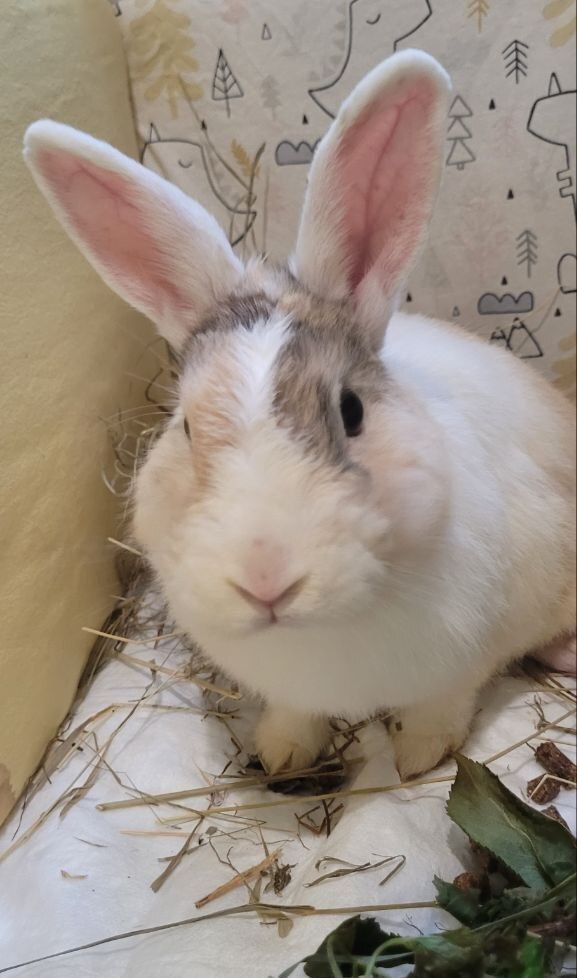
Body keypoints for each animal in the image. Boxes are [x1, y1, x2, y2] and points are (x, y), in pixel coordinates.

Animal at [24, 50, 576, 780]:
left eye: (351, 411)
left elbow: (440, 711)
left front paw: (417, 760)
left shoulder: (461, 665)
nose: (266, 580)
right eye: (186, 427)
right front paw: (281, 754)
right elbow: (293, 716)